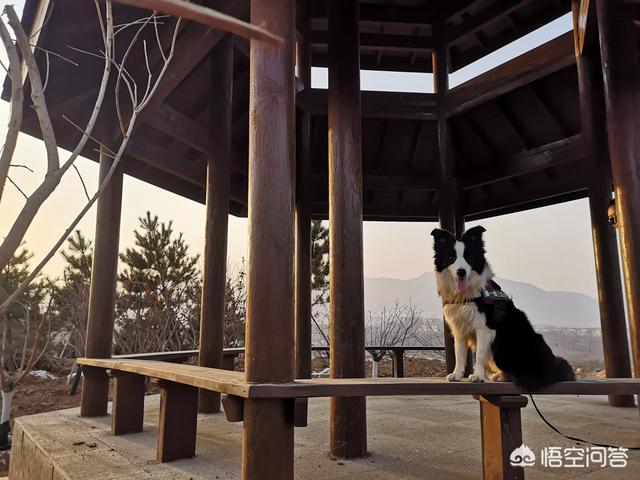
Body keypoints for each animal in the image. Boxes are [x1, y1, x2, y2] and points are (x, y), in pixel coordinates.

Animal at [430, 226, 576, 390]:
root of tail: (553, 368)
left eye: (469, 257)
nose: (461, 271)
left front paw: (478, 376)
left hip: (503, 346)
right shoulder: (460, 329)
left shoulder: (484, 328)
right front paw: (457, 375)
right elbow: (459, 355)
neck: (468, 294)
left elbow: (479, 355)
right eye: (451, 257)